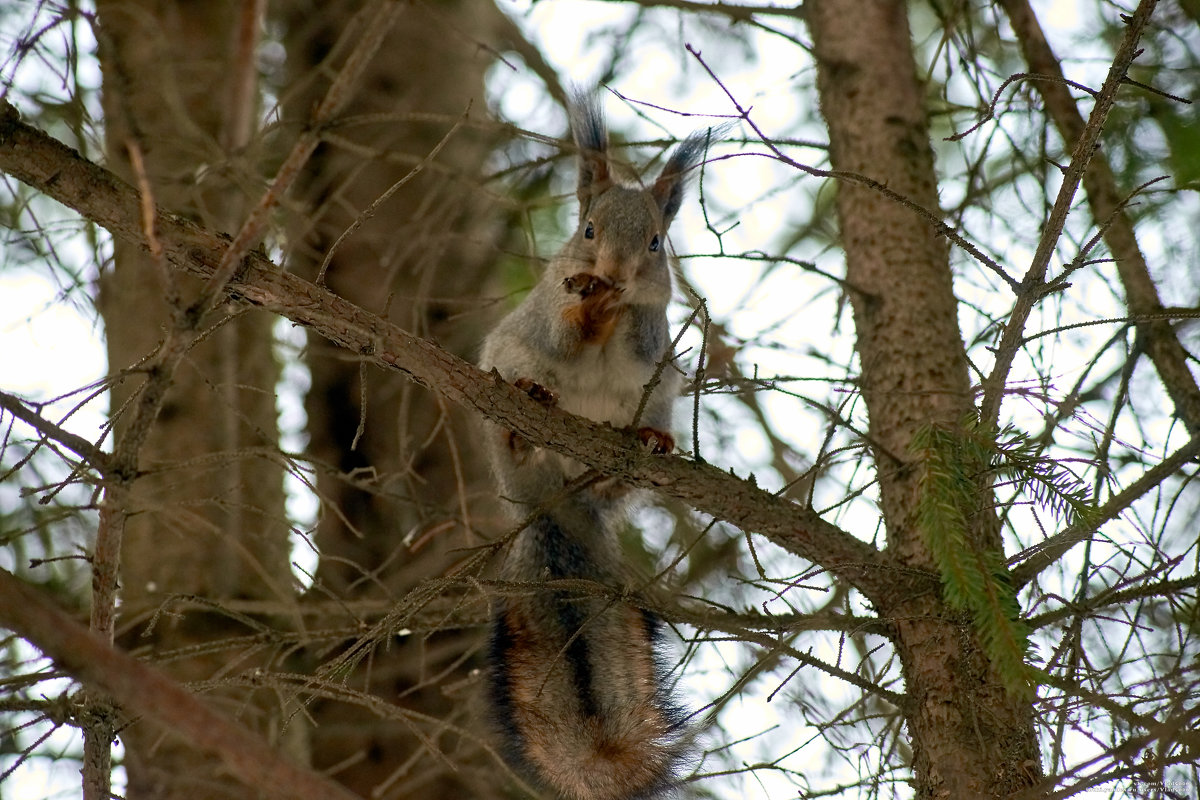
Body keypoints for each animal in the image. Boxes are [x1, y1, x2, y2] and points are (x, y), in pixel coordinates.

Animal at [475, 95, 700, 800]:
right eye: (589, 229)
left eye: (656, 242)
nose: (613, 275)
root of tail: (552, 502)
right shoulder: (548, 310)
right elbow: (565, 333)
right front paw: (592, 311)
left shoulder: (654, 342)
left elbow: (640, 334)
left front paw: (619, 307)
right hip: (503, 384)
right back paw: (525, 424)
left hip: (657, 401)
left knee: (616, 479)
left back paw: (643, 447)